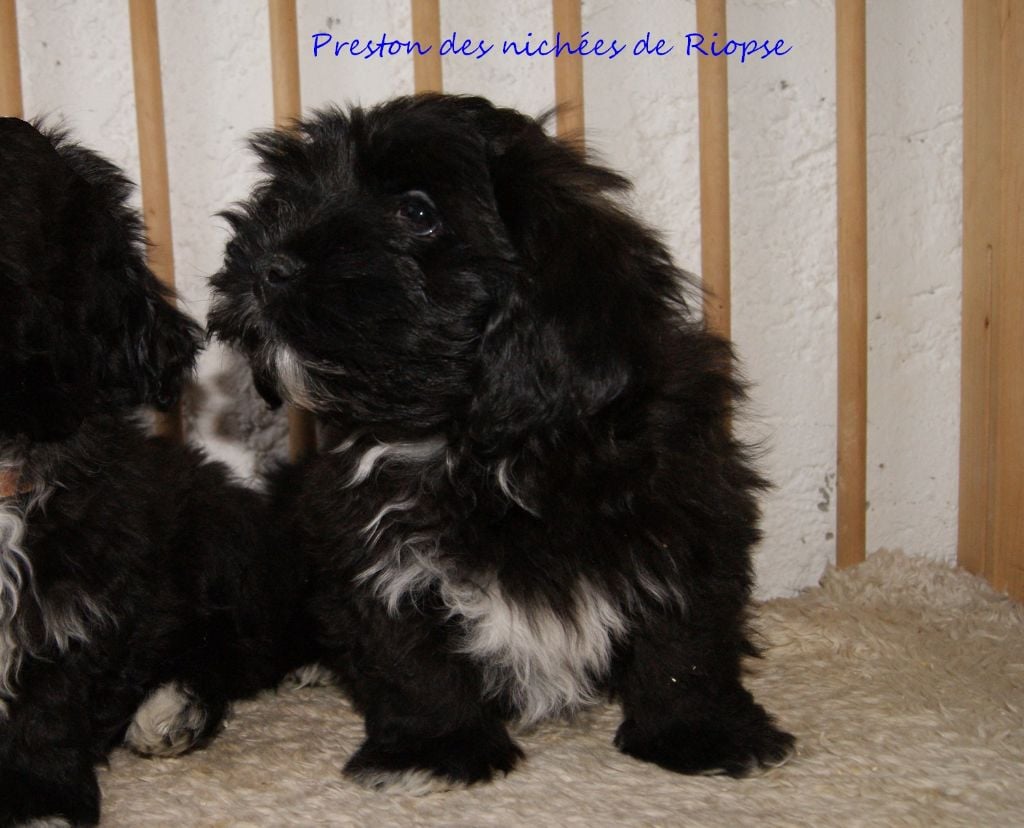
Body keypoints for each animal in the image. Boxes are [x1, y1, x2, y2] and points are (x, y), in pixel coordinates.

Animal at [0, 118, 306, 825]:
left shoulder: (80, 597)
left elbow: (48, 698)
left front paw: (37, 797)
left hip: (218, 540)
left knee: (237, 647)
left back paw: (173, 709)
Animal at [209, 93, 795, 791]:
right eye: (287, 198)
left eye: (418, 213)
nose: (268, 264)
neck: (489, 446)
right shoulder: (367, 539)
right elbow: (409, 656)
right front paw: (435, 750)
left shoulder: (688, 516)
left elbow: (686, 644)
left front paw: (698, 734)